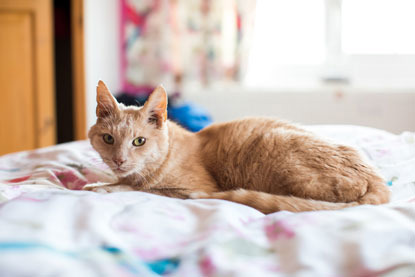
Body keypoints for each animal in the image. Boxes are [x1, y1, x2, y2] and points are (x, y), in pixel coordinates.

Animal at [84, 80, 390, 213]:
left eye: (139, 141)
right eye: (109, 139)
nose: (119, 160)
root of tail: (377, 181)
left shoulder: (190, 188)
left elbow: (135, 188)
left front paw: (101, 187)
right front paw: (104, 180)